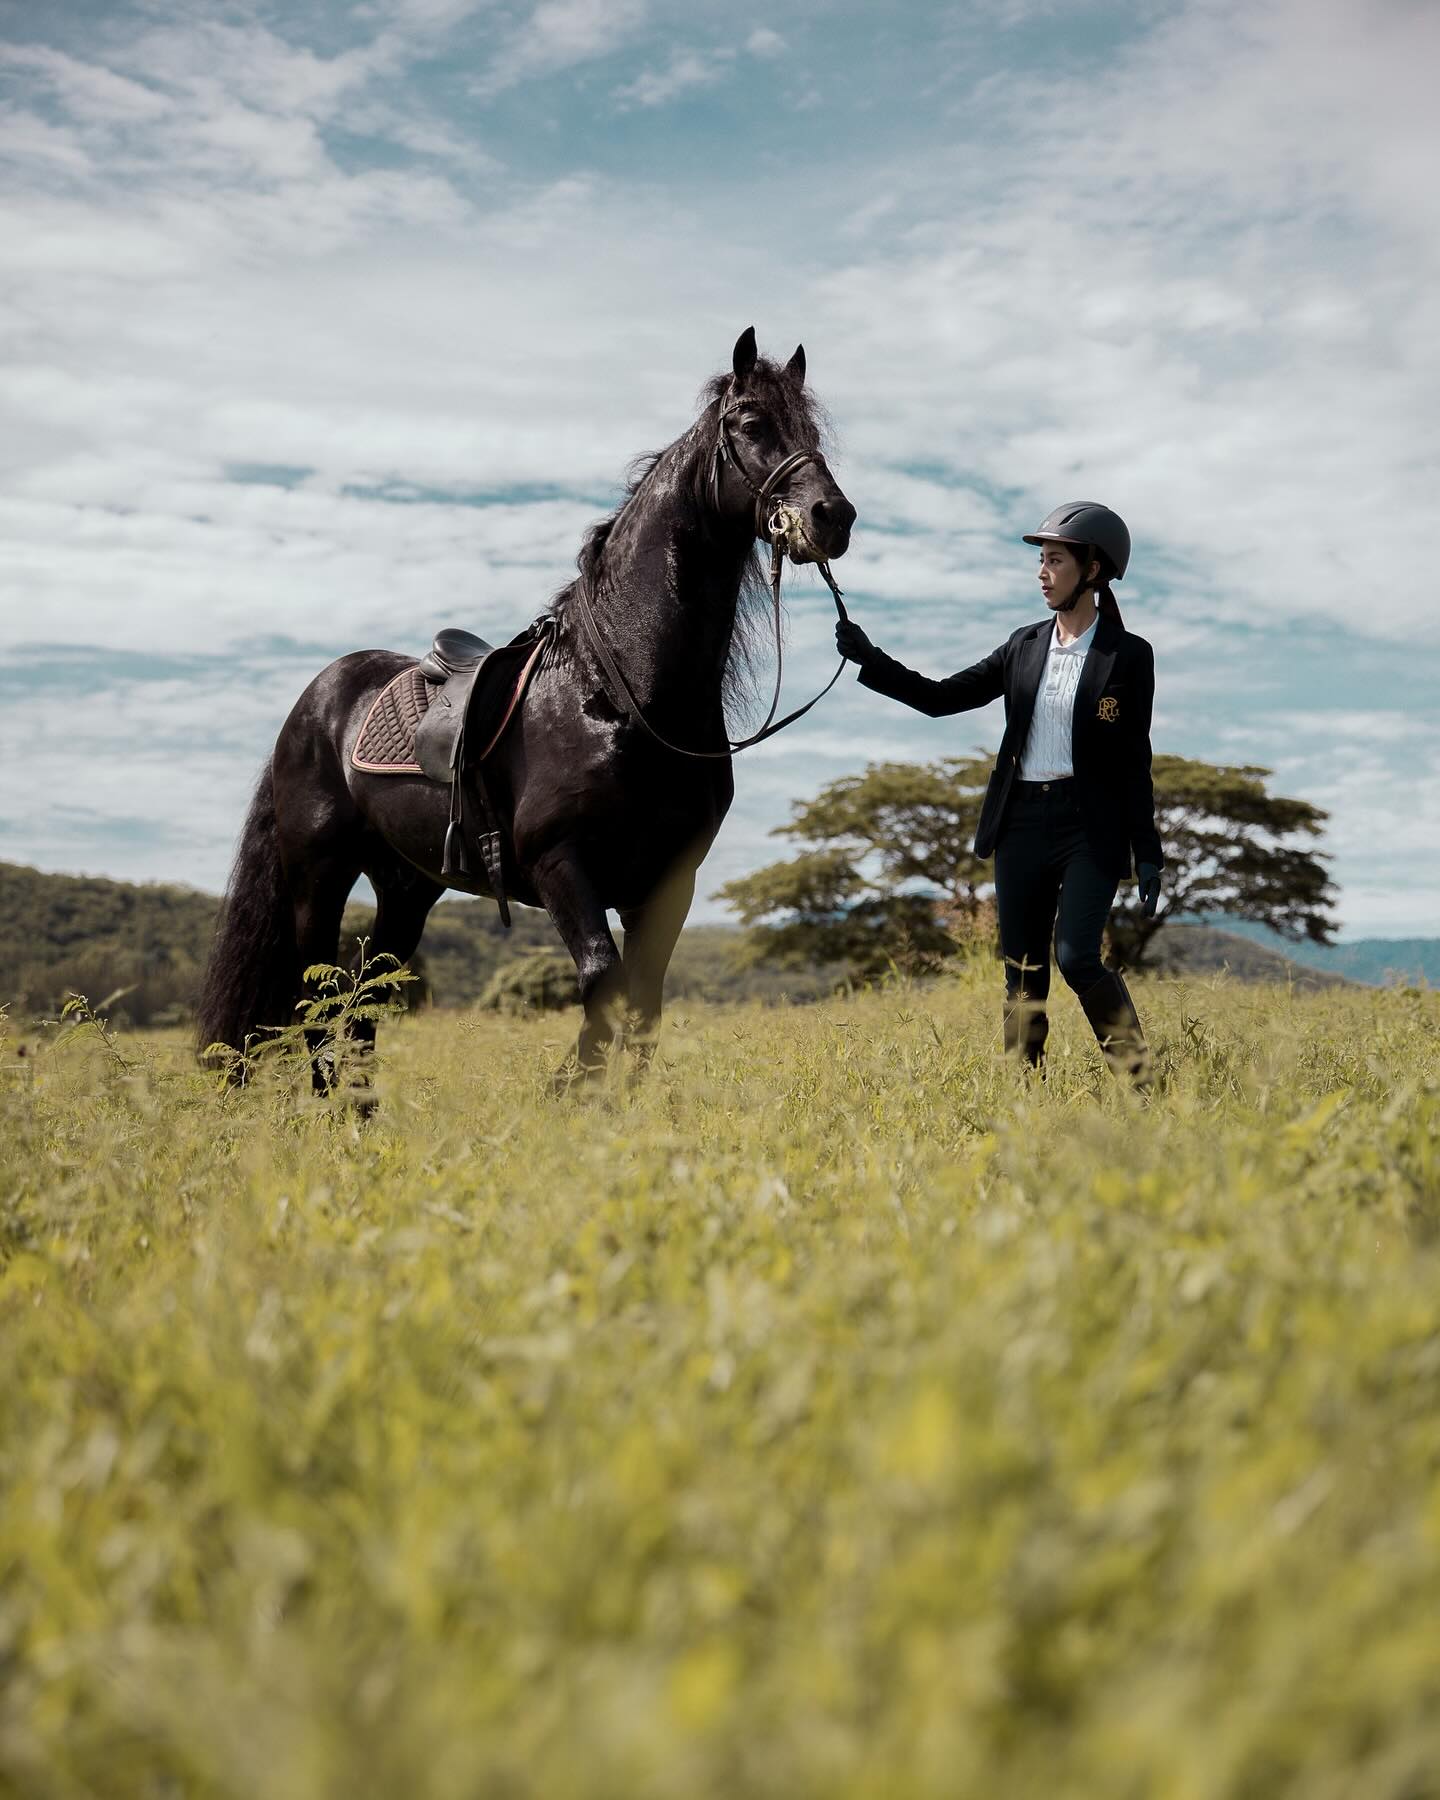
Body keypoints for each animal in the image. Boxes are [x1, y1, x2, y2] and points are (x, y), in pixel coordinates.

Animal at [200, 327, 856, 1080]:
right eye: (751, 423)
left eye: (813, 431)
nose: (833, 517)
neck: (619, 695)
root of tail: (317, 698)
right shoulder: (559, 862)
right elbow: (604, 986)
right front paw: (570, 1091)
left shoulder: (667, 885)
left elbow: (642, 1010)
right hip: (319, 875)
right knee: (322, 996)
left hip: (407, 884)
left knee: (367, 997)